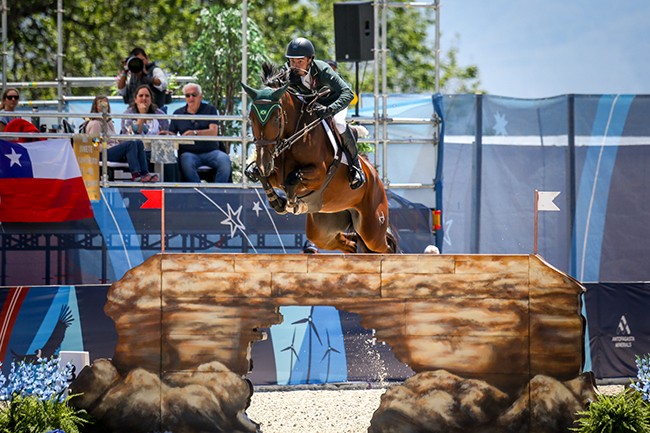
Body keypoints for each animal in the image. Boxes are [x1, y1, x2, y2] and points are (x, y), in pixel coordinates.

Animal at [242, 63, 398, 253]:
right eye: (251, 118)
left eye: (277, 118)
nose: (264, 163)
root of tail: (374, 175)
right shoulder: (274, 173)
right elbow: (263, 177)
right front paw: (278, 202)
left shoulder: (319, 174)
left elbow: (293, 177)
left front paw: (292, 203)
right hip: (323, 229)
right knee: (348, 243)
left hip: (372, 228)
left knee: (385, 247)